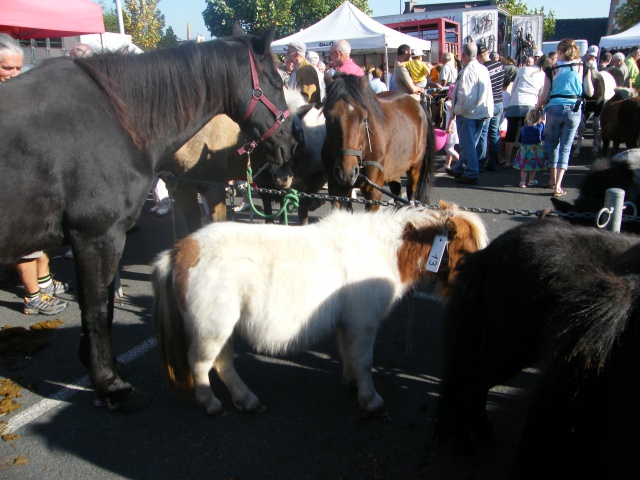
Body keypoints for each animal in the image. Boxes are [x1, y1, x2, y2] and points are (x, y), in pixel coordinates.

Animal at [0, 23, 296, 412]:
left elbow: (102, 304)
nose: (290, 142)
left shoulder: (202, 193)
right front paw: (111, 384)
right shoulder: (101, 233)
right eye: (275, 81)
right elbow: (98, 308)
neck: (121, 118)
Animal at [154, 202, 484, 416]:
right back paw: (210, 403)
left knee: (222, 363)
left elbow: (347, 353)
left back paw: (247, 400)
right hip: (213, 328)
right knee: (201, 363)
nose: (474, 293)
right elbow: (364, 360)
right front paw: (371, 399)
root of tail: (178, 252)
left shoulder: (347, 323)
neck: (382, 248)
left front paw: (351, 384)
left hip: (220, 327)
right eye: (467, 251)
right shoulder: (362, 322)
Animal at [322, 74, 438, 210]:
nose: (346, 172)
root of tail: (418, 105)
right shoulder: (336, 191)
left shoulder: (373, 193)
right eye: (327, 117)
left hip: (415, 168)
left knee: (411, 195)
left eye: (364, 118)